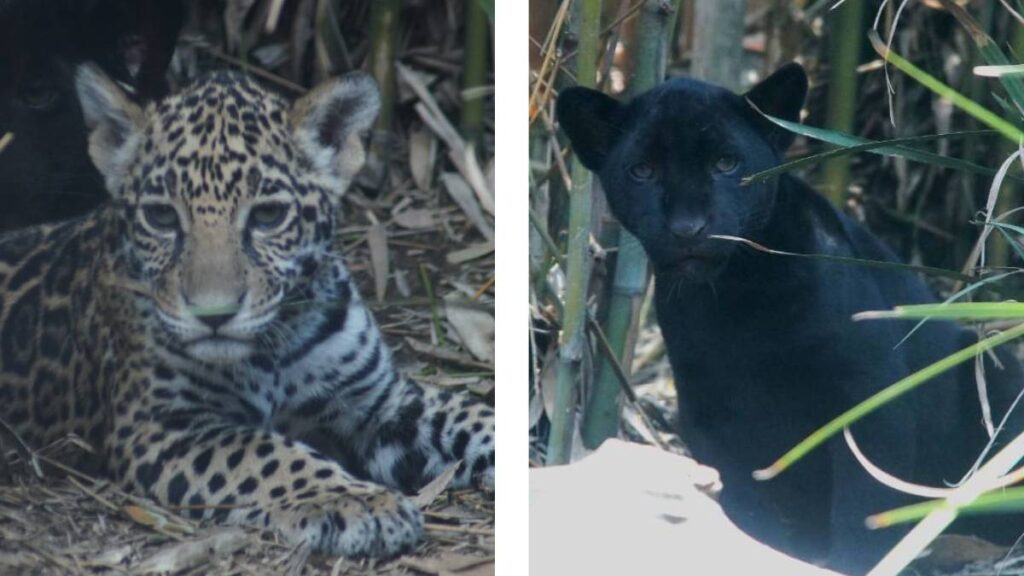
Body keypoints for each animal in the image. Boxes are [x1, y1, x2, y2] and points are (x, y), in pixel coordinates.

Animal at [0, 63, 495, 558]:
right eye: (161, 218)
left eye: (268, 216)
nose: (213, 314)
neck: (272, 349)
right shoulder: (160, 426)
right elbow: (267, 455)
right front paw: (356, 501)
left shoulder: (379, 401)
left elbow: (468, 414)